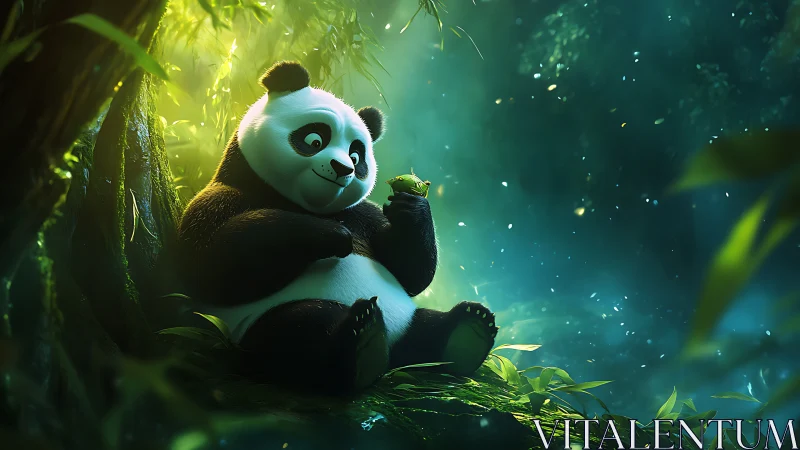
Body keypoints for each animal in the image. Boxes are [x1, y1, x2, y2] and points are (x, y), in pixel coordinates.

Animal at [176, 60, 498, 394]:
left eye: (357, 155)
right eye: (314, 139)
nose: (343, 168)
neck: (310, 204)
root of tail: (391, 355)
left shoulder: (364, 215)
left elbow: (411, 273)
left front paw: (410, 206)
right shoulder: (225, 196)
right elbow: (212, 265)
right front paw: (335, 236)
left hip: (407, 319)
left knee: (425, 330)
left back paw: (467, 331)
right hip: (256, 324)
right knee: (300, 335)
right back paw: (363, 339)